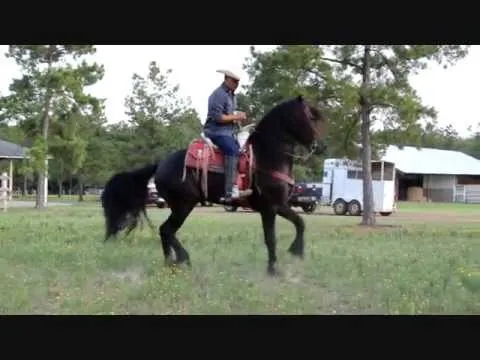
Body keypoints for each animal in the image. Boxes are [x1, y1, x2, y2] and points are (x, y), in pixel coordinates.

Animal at [101, 95, 326, 276]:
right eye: (308, 117)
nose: (320, 147)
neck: (266, 157)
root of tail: (160, 164)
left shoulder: (280, 205)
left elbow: (300, 223)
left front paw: (297, 251)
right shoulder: (269, 208)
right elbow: (271, 238)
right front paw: (273, 269)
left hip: (180, 206)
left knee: (165, 231)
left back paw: (170, 262)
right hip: (184, 205)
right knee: (166, 230)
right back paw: (182, 259)